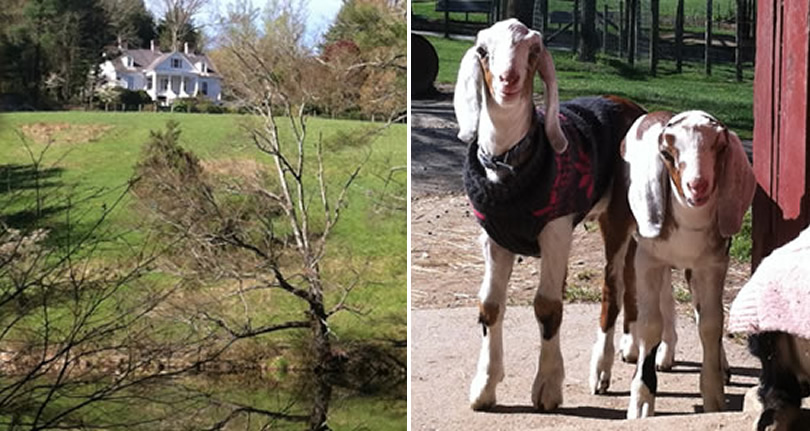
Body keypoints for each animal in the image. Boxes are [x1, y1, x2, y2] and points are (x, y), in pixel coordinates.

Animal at [448, 18, 644, 412]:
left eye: (534, 50)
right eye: (482, 51)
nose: (508, 80)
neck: (507, 165)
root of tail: (631, 105)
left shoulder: (555, 230)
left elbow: (548, 305)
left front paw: (548, 388)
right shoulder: (493, 236)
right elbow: (489, 305)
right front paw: (484, 388)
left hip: (617, 213)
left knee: (612, 285)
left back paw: (601, 370)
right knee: (629, 270)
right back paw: (630, 347)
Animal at [620, 110, 756, 418]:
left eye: (720, 146)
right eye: (666, 153)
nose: (698, 185)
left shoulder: (713, 264)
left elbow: (711, 323)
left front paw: (714, 396)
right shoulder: (647, 259)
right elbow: (650, 324)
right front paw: (641, 402)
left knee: (674, 301)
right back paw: (636, 349)